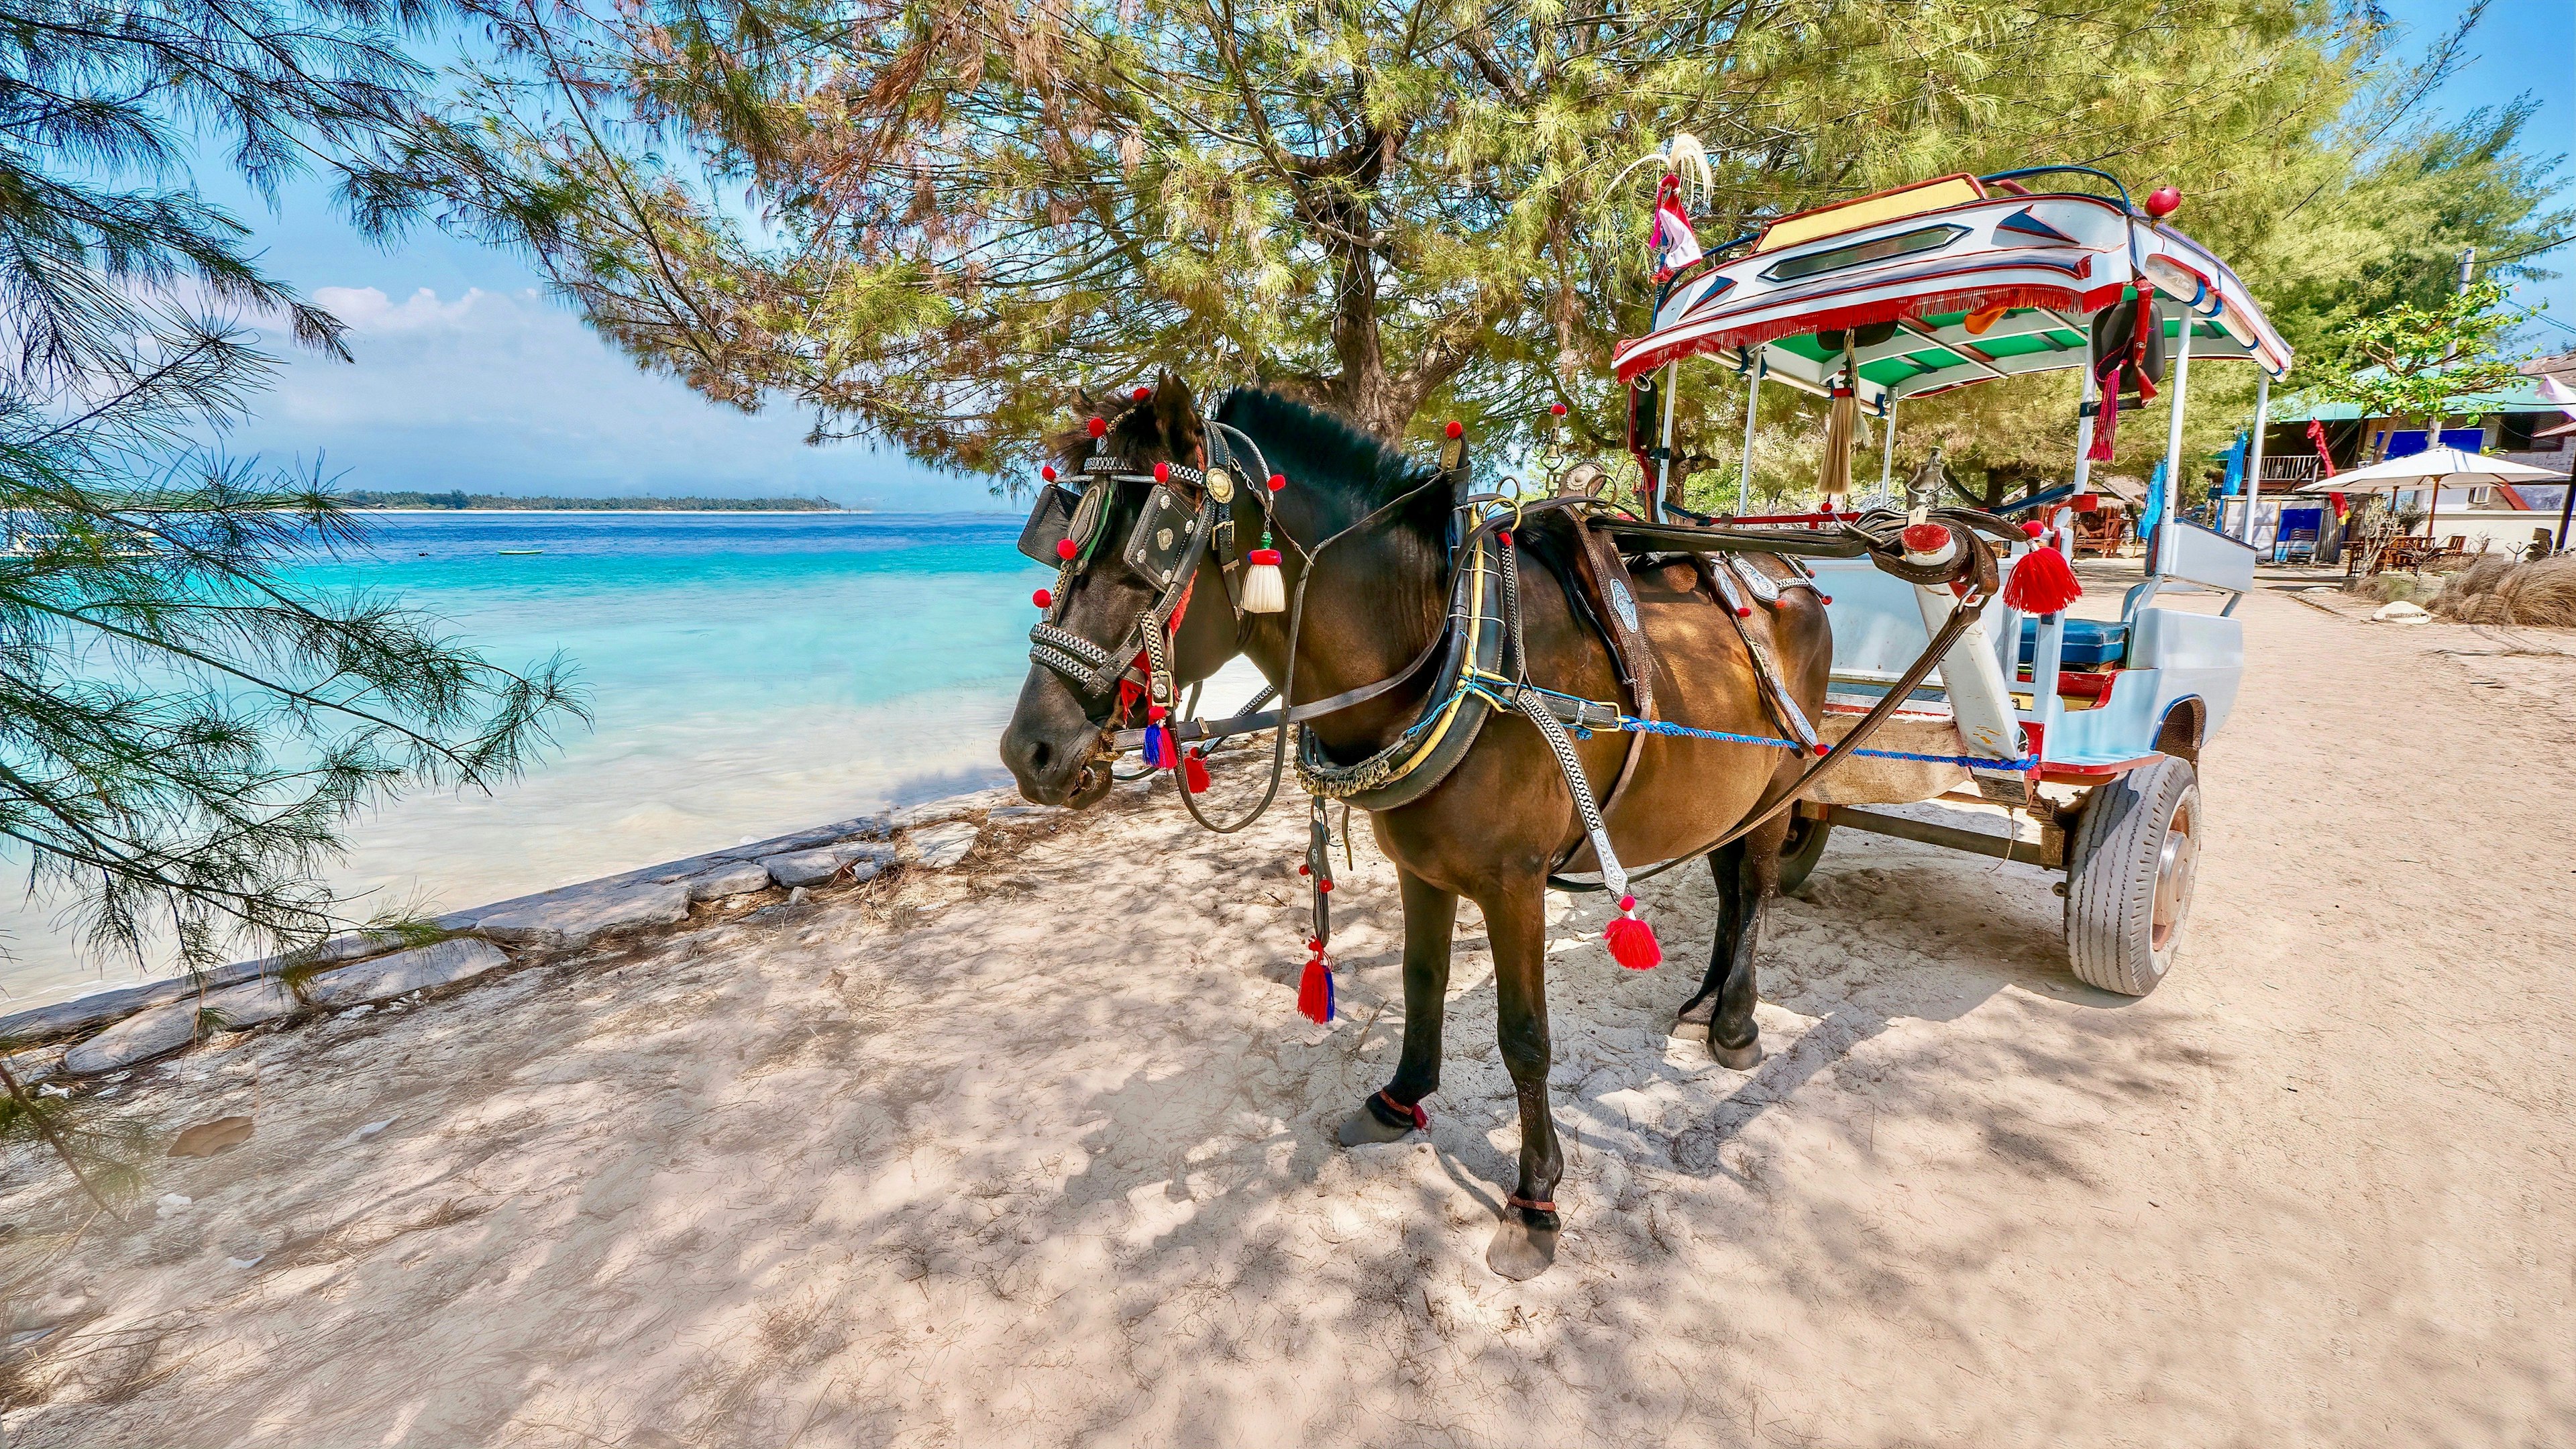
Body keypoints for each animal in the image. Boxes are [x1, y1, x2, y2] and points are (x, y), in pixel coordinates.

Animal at [999, 374, 1834, 1273]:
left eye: (1153, 547)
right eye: (1059, 540)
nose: (1028, 751)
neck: (1448, 648)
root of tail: (1785, 566)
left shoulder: (1515, 886)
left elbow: (1524, 1036)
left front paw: (1535, 1196)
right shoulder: (1421, 869)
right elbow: (1420, 981)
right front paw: (1401, 1101)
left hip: (1786, 777)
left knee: (1755, 886)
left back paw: (1736, 1022)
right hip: (1727, 794)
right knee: (1726, 881)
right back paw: (1706, 1000)